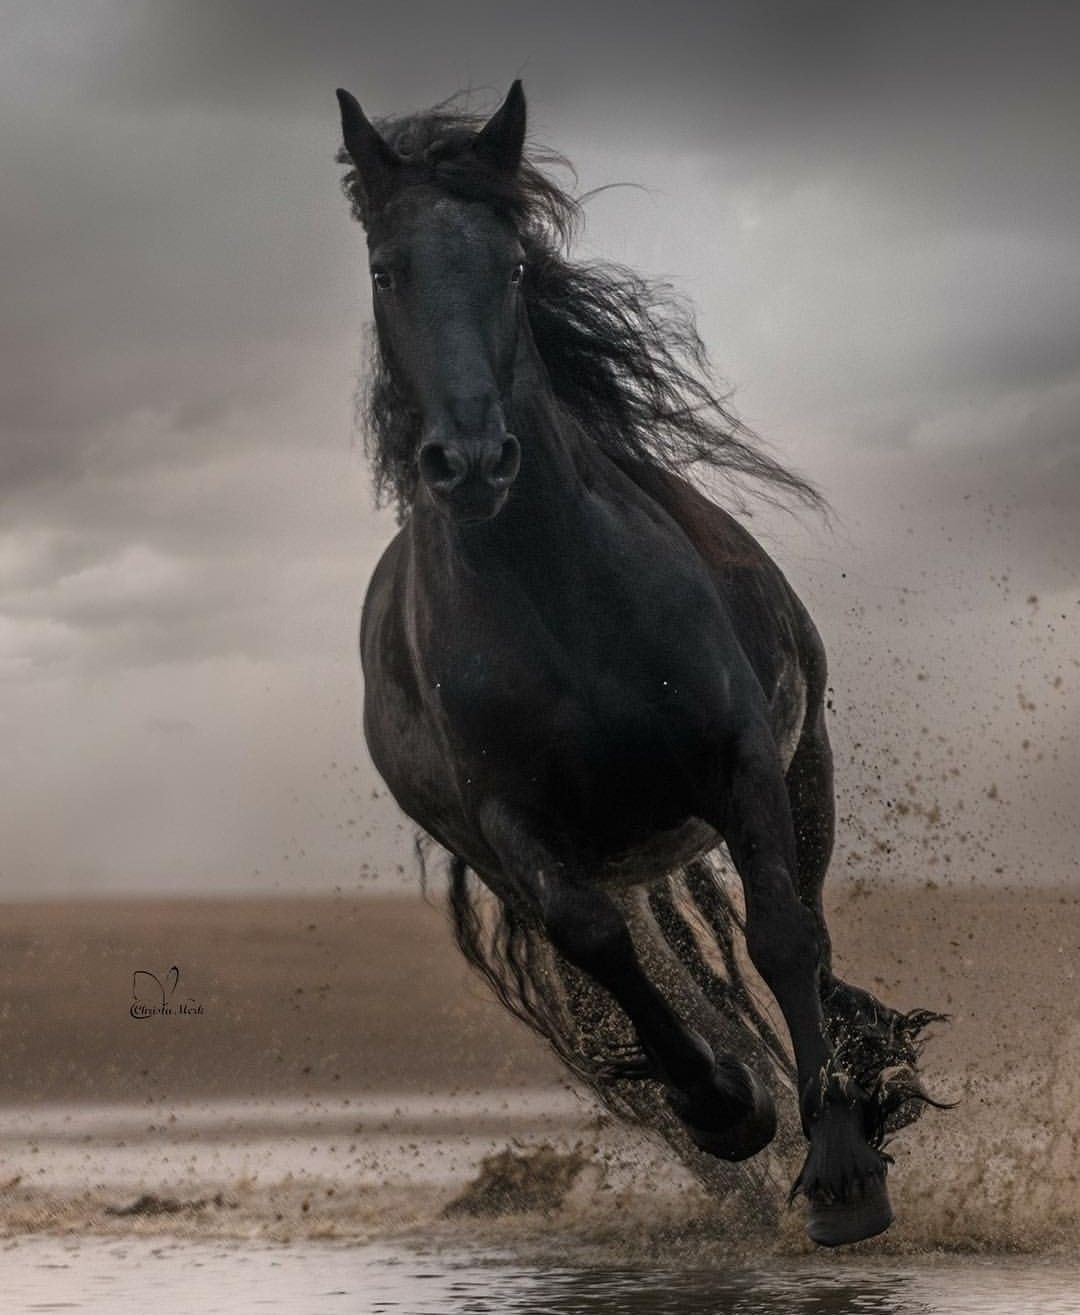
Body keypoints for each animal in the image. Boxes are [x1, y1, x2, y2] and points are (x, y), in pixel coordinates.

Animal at [335, 76, 936, 1246]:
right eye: (386, 270)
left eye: (512, 265)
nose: (470, 461)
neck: (558, 601)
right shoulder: (514, 827)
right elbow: (602, 945)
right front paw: (729, 1106)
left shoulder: (743, 758)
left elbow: (782, 935)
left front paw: (845, 1165)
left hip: (807, 762)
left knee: (809, 928)